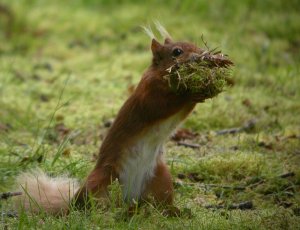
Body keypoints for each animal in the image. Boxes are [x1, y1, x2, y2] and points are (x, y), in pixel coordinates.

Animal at [15, 29, 216, 216]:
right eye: (177, 52)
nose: (203, 55)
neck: (161, 76)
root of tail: (130, 198)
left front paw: (201, 92)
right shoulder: (147, 96)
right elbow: (162, 105)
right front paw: (190, 92)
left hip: (161, 179)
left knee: (159, 203)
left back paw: (172, 212)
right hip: (101, 179)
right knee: (84, 203)